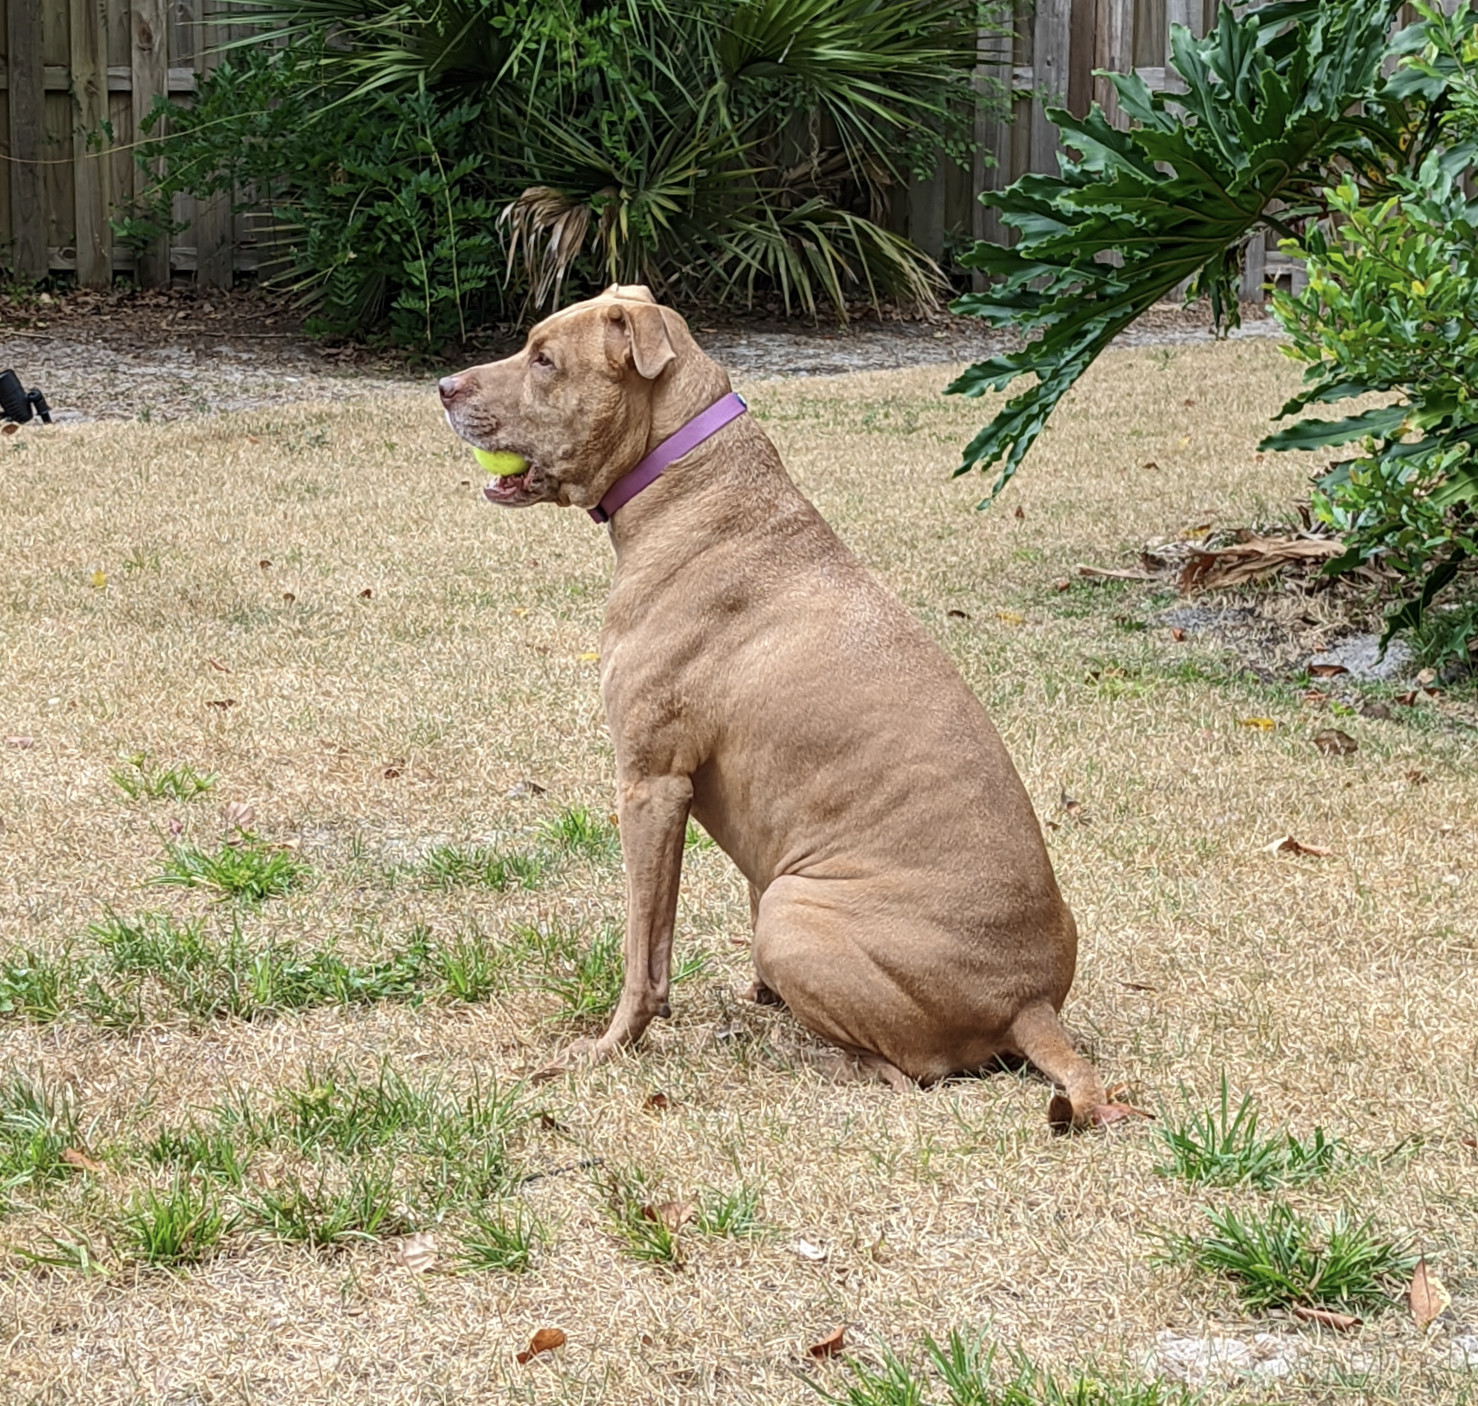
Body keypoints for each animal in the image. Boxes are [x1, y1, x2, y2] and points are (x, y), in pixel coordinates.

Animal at [431, 285, 1123, 1135]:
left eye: (544, 360)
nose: (444, 387)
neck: (688, 476)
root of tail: (1032, 1002)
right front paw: (751, 999)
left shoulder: (650, 784)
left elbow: (642, 951)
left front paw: (609, 1047)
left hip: (794, 915)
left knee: (909, 1072)